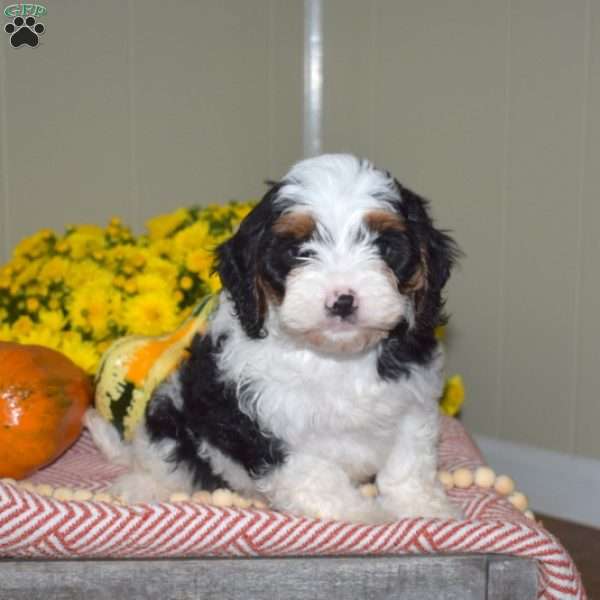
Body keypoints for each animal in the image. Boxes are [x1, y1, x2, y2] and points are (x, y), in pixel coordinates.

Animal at [85, 155, 460, 524]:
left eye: (384, 246)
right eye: (297, 250)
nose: (342, 300)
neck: (335, 356)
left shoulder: (412, 404)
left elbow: (408, 464)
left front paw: (423, 508)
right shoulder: (269, 428)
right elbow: (318, 477)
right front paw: (361, 515)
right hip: (170, 419)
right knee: (162, 461)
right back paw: (142, 486)